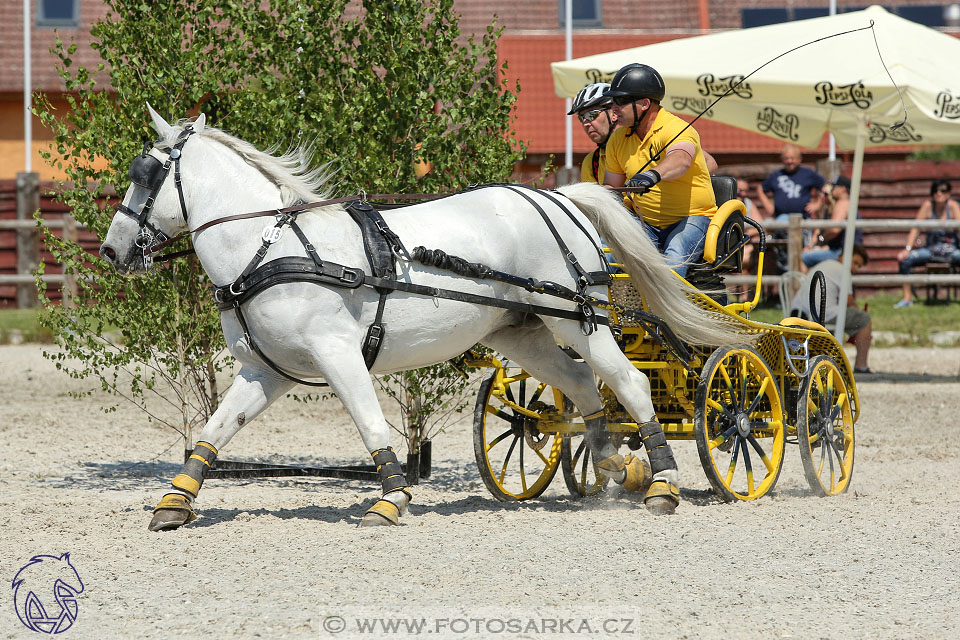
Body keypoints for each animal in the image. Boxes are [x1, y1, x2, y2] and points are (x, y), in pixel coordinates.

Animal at [101, 107, 748, 532]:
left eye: (143, 174)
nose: (111, 251)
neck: (267, 249)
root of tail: (559, 198)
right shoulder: (268, 370)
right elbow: (214, 432)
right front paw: (175, 503)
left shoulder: (337, 354)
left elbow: (370, 425)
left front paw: (392, 499)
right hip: (524, 332)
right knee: (585, 385)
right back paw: (615, 463)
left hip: (575, 319)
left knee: (630, 382)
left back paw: (662, 484)